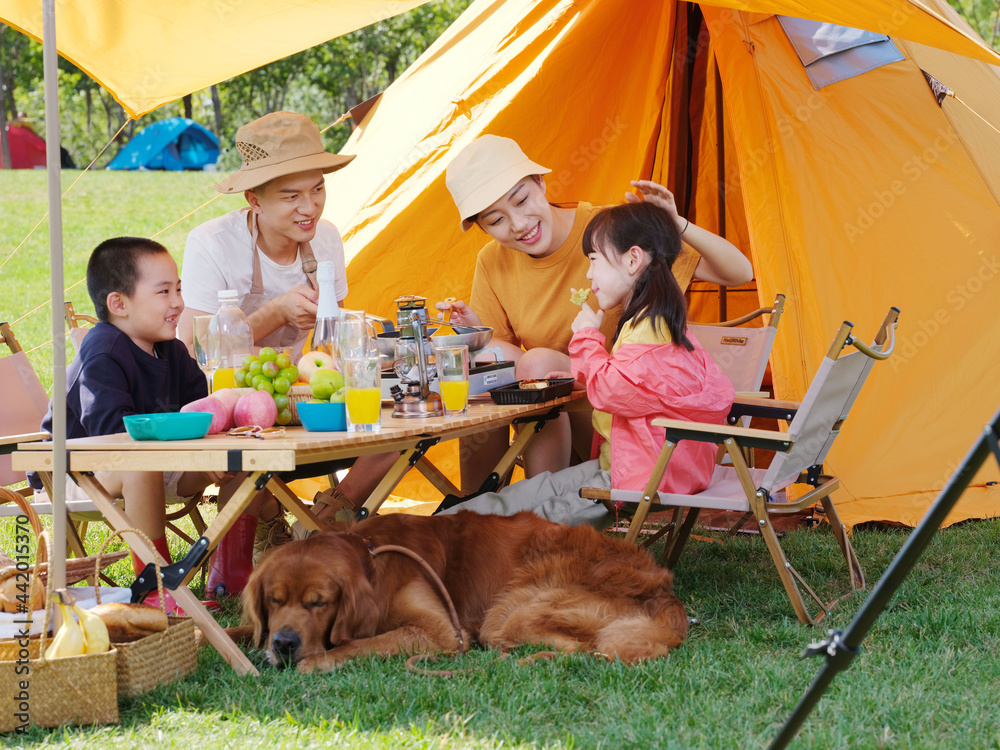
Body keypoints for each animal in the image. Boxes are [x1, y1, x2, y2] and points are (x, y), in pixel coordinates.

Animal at [242, 512, 688, 676]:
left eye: (318, 603)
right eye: (273, 601)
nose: (283, 644)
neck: (372, 559)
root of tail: (664, 590)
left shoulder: (442, 632)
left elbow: (361, 644)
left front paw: (315, 661)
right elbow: (240, 630)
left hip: (510, 611)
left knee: (580, 647)